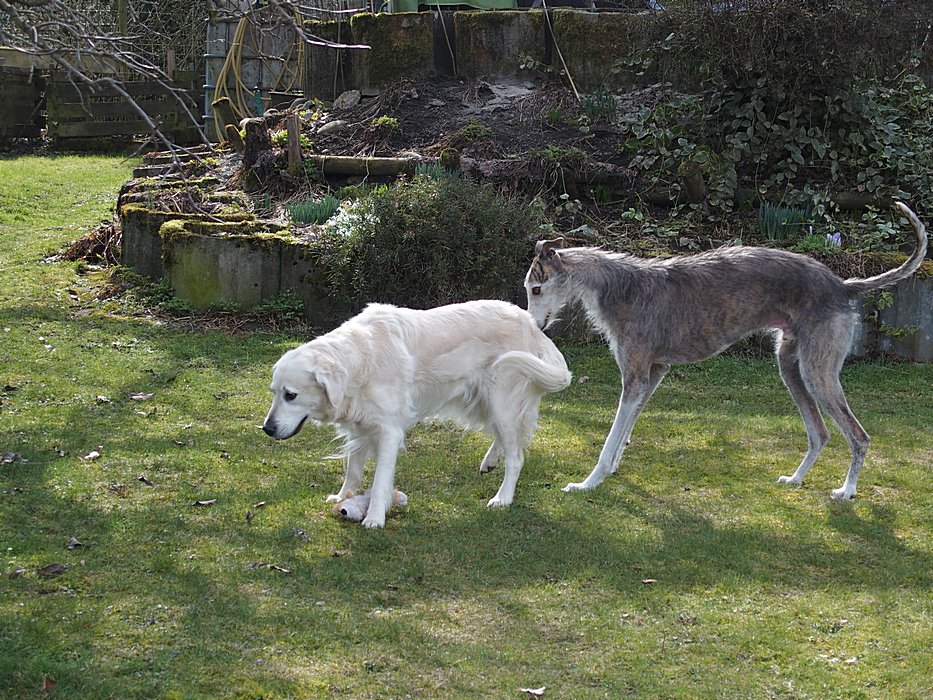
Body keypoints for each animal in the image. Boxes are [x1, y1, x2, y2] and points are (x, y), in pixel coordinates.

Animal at [262, 300, 572, 528]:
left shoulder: (388, 431)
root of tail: (530, 323)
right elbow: (353, 471)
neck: (361, 360)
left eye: (291, 395)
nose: (267, 428)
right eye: (274, 392)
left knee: (516, 455)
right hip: (486, 402)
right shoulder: (360, 426)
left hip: (501, 397)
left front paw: (375, 517)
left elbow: (380, 480)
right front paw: (342, 496)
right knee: (509, 438)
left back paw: (503, 498)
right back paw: (491, 461)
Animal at [524, 201, 927, 501]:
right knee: (820, 433)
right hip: (790, 365)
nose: (534, 328)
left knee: (859, 436)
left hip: (818, 371)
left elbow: (611, 437)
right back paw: (796, 479)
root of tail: (843, 285)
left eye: (536, 288)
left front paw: (588, 482)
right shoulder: (655, 373)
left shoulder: (636, 376)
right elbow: (625, 429)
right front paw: (611, 470)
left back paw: (847, 491)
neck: (617, 285)